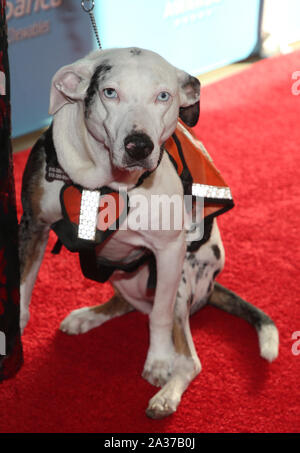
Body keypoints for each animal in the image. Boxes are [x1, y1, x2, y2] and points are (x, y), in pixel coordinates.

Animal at [19, 47, 278, 418]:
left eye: (163, 96)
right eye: (109, 92)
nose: (138, 146)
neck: (106, 183)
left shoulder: (169, 252)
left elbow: (158, 317)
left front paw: (157, 362)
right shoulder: (34, 225)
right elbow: (21, 290)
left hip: (183, 281)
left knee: (188, 358)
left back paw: (167, 395)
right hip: (124, 278)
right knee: (124, 304)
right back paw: (87, 317)